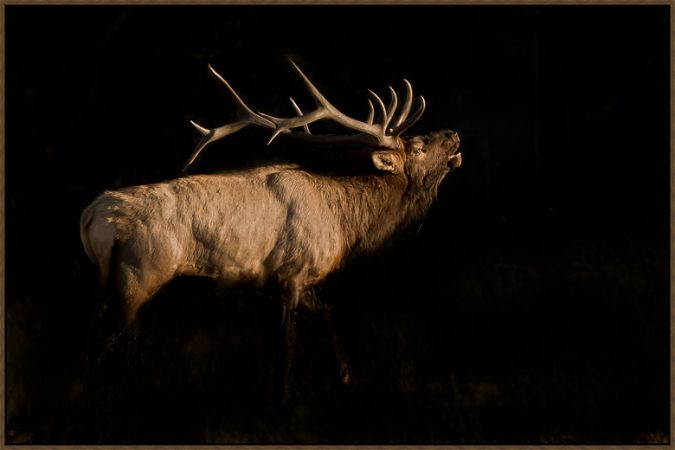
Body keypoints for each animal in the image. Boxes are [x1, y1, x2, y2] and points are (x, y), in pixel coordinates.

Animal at [78, 61, 460, 400]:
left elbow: (325, 315)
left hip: (113, 281)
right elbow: (285, 344)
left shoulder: (285, 280)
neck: (344, 225)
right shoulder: (291, 272)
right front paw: (282, 399)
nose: (453, 134)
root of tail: (90, 217)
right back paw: (92, 396)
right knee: (102, 340)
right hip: (139, 274)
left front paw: (345, 377)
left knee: (114, 338)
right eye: (418, 147)